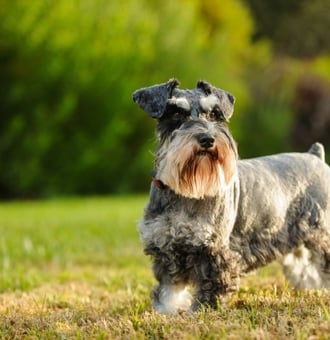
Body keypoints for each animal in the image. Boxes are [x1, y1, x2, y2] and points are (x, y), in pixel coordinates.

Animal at [131, 78, 330, 314]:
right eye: (177, 113)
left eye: (214, 114)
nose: (207, 139)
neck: (184, 192)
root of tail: (315, 156)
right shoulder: (166, 247)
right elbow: (169, 289)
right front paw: (165, 312)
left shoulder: (215, 250)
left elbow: (211, 288)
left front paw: (199, 313)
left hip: (321, 234)